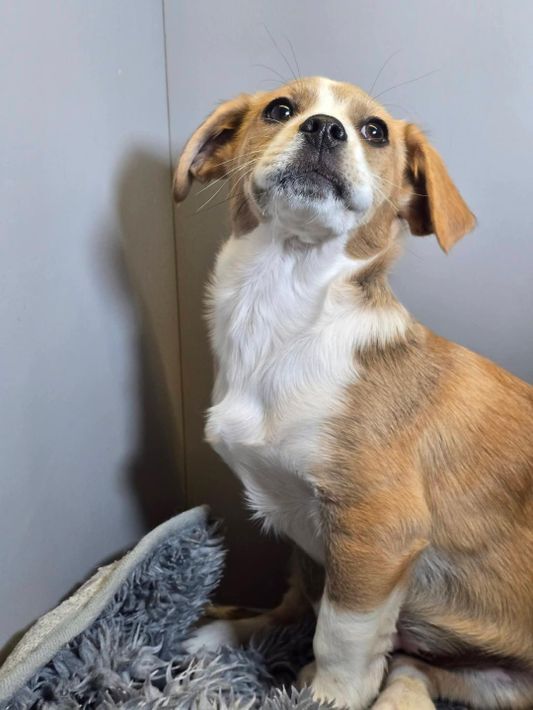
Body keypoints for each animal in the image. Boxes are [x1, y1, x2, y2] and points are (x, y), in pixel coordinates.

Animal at [173, 76, 533, 709]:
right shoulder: (304, 532)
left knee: (401, 666)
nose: (323, 127)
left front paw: (327, 695)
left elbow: (339, 635)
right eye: (280, 110)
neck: (281, 305)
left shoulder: (376, 531)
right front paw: (243, 632)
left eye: (375, 131)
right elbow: (303, 602)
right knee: (412, 666)